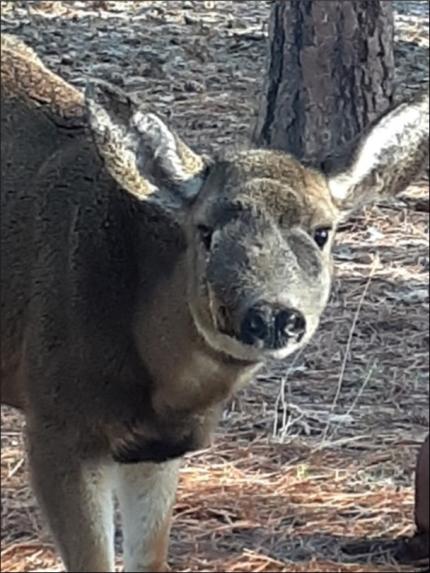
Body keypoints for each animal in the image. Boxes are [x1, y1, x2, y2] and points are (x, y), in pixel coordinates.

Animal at [1, 34, 428, 572]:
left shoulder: (156, 447)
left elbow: (148, 558)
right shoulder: (57, 422)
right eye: (205, 231)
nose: (270, 315)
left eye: (323, 231)